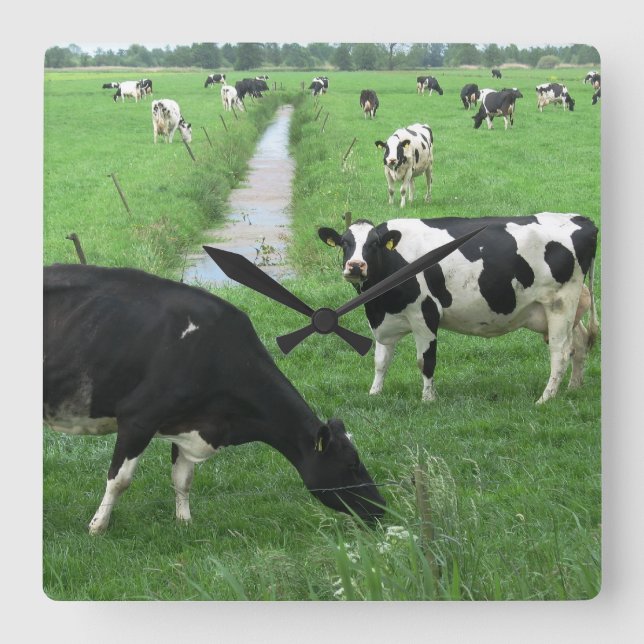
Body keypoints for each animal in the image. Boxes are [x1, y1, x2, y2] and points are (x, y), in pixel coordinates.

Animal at [43, 264, 386, 534]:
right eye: (352, 464)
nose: (382, 508)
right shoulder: (138, 418)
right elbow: (119, 480)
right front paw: (97, 527)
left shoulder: (187, 423)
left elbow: (183, 478)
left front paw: (184, 523)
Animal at [318, 214, 599, 404]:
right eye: (344, 243)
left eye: (374, 244)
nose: (355, 266)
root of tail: (582, 219)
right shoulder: (385, 319)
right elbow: (380, 361)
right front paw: (374, 393)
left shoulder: (425, 314)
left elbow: (425, 361)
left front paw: (428, 399)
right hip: (569, 308)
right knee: (580, 343)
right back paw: (574, 387)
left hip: (560, 303)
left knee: (561, 352)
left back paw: (545, 398)